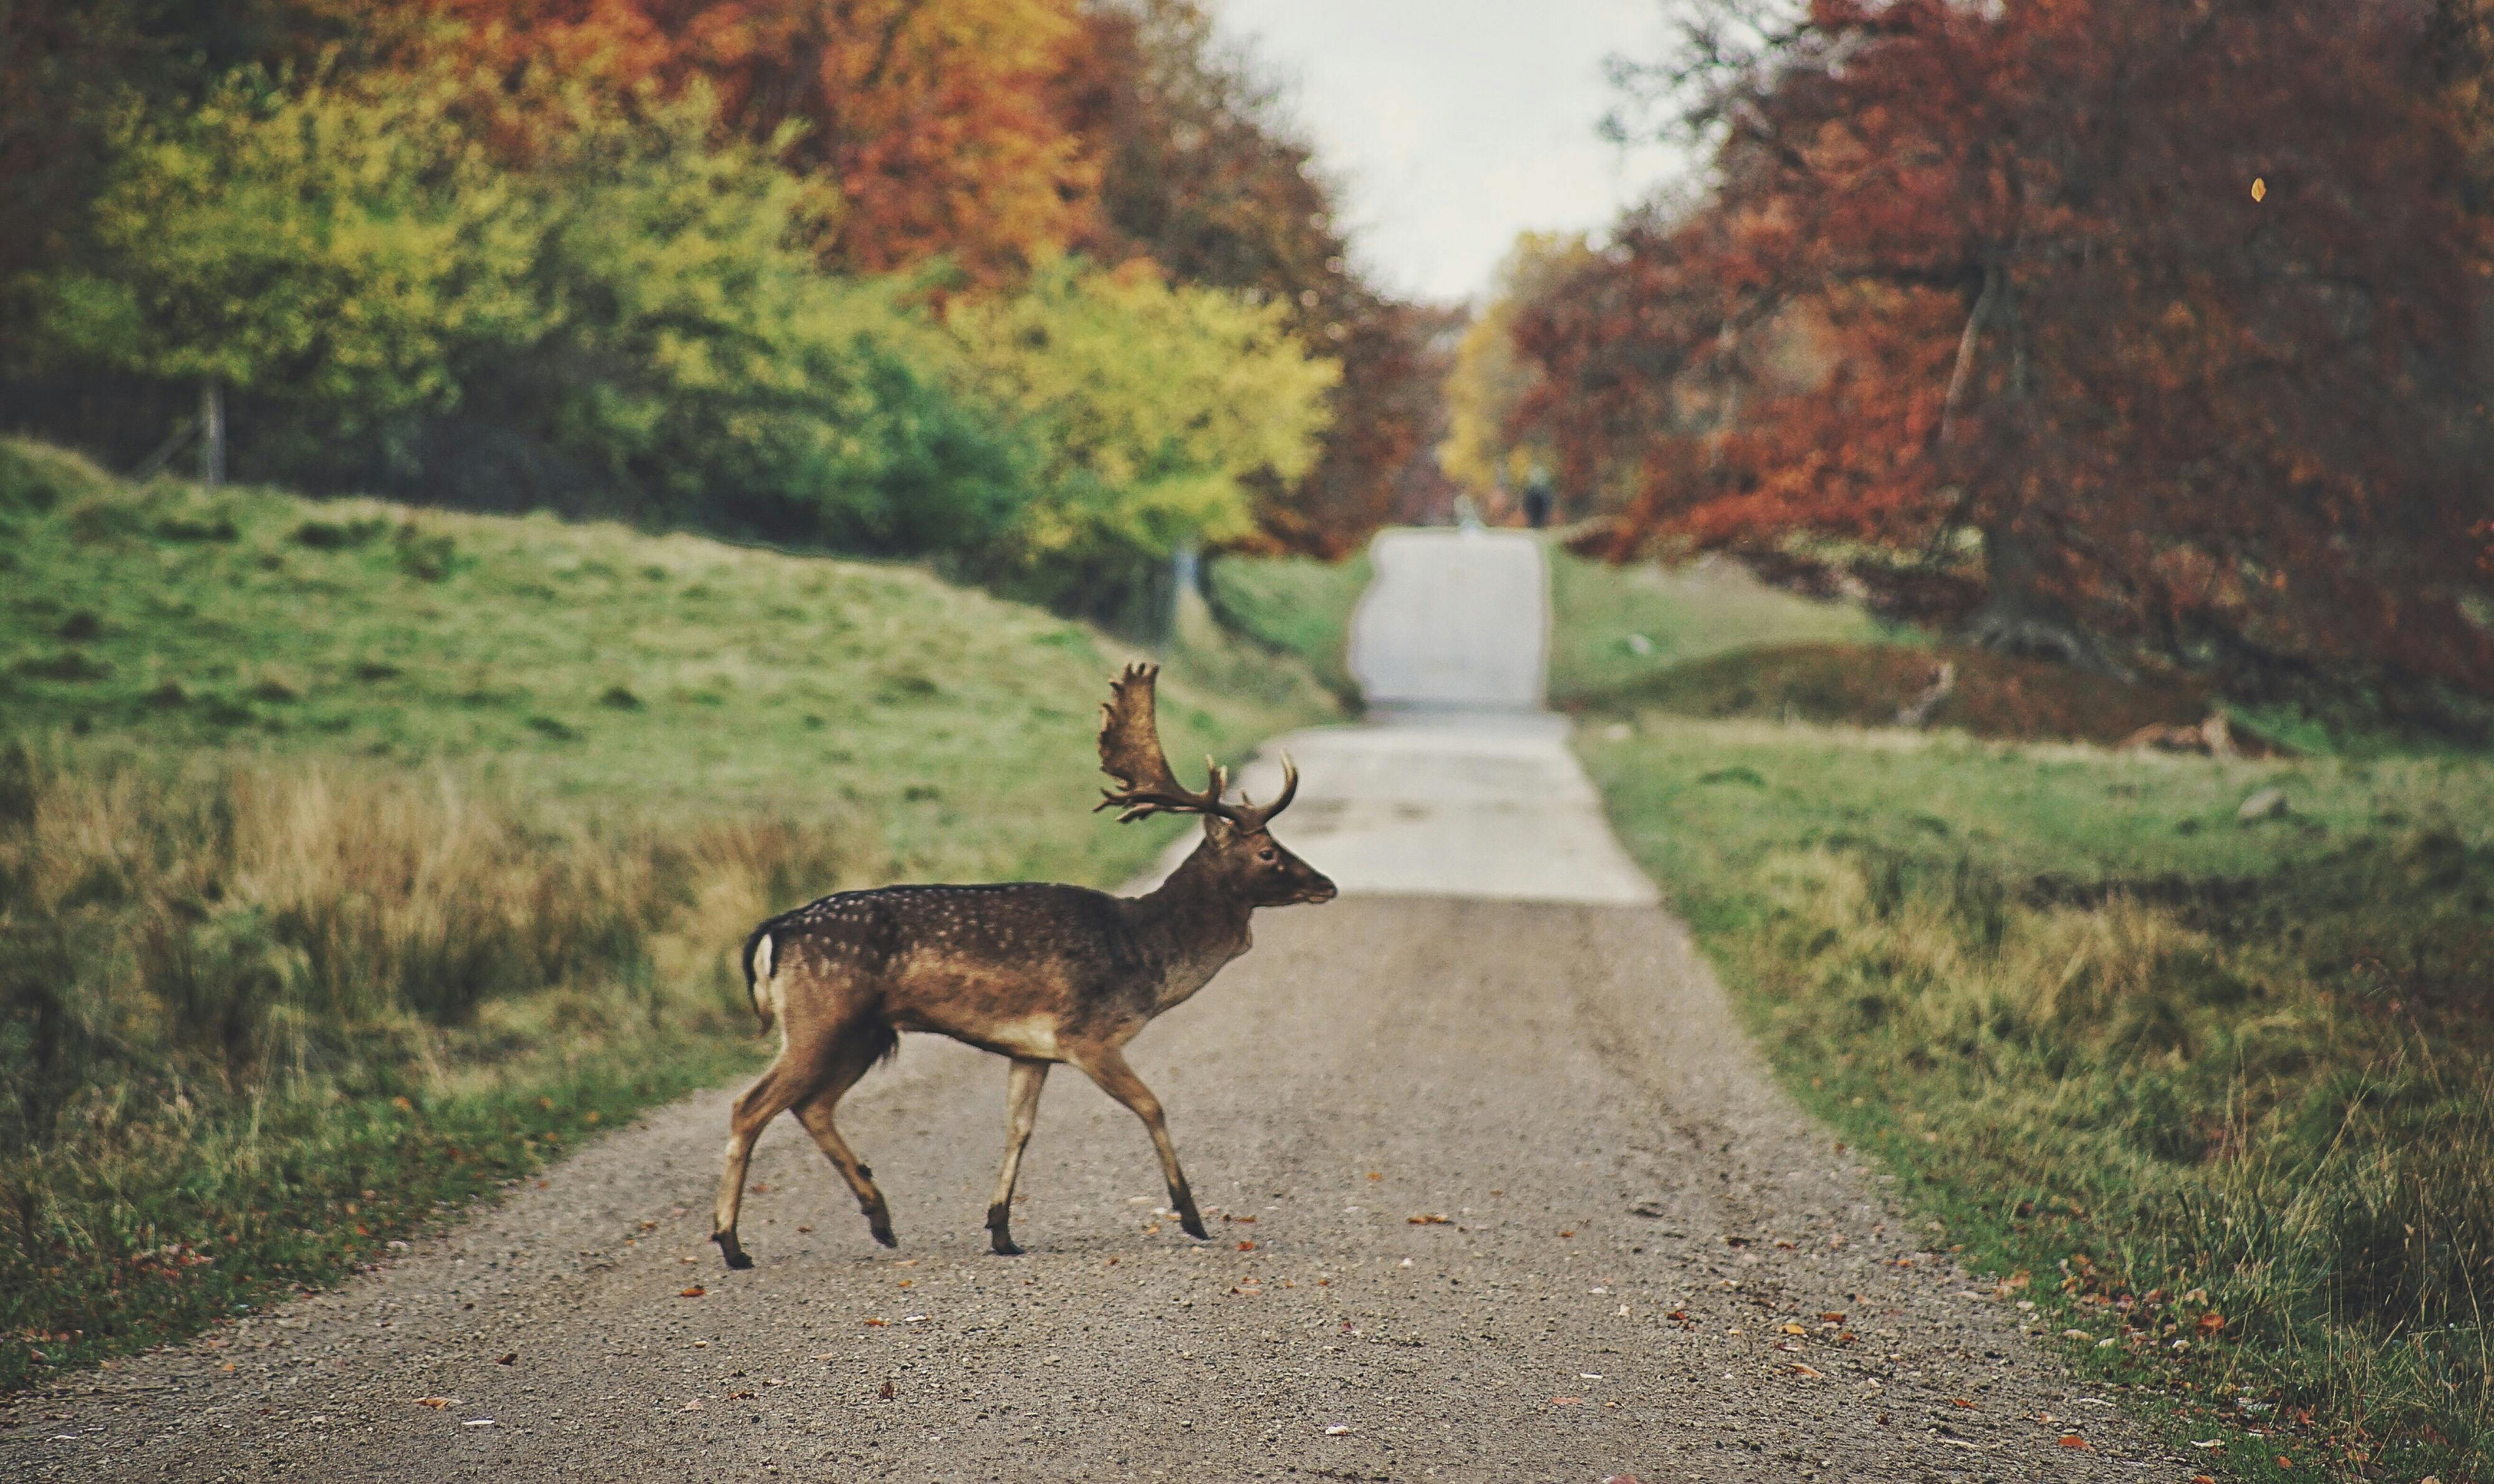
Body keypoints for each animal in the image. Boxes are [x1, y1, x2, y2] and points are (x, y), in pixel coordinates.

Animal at [713, 663, 1337, 1267]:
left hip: (863, 1032)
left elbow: (1019, 1129)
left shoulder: (1030, 1050)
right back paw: (732, 1243)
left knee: (812, 1105)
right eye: (1268, 852)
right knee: (750, 1106)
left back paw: (880, 1219)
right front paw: (1191, 1216)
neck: (1144, 953)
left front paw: (1001, 1231)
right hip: (822, 1019)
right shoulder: (1087, 1035)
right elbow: (1152, 1106)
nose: (1327, 884)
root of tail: (774, 932)